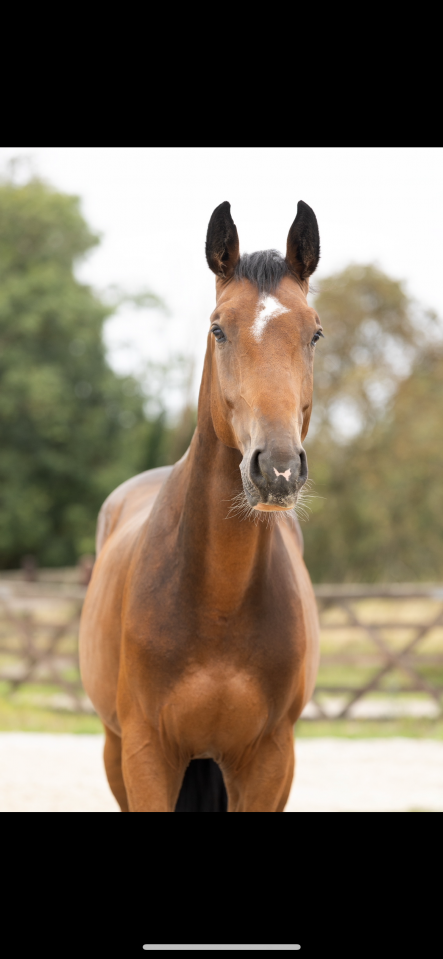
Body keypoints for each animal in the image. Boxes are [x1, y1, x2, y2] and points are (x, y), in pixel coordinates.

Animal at [79, 200, 322, 812]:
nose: (277, 469)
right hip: (114, 750)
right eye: (219, 329)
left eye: (314, 332)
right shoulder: (146, 754)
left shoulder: (269, 762)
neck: (218, 599)